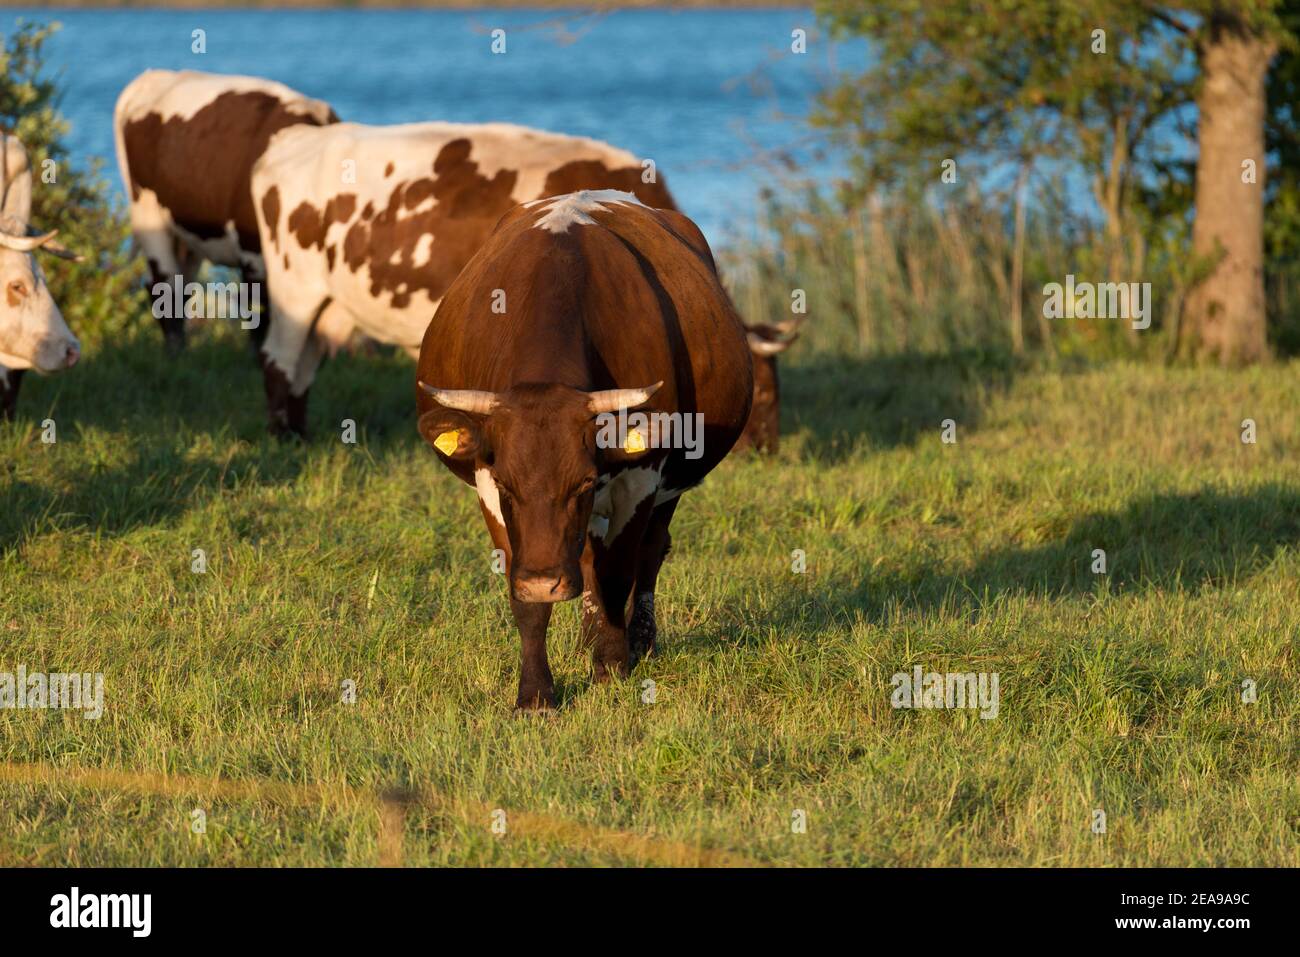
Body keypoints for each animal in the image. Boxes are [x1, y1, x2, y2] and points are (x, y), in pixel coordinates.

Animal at [113, 69, 337, 352]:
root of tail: (153, 76)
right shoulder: (253, 252)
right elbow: (259, 314)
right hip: (147, 213)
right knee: (164, 286)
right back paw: (175, 352)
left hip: (189, 224)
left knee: (181, 287)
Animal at [416, 190, 753, 710]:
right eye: (510, 488)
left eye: (583, 482)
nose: (546, 581)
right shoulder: (488, 483)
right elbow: (526, 599)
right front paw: (536, 695)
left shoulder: (640, 476)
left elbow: (618, 572)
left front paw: (612, 668)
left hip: (671, 485)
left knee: (650, 551)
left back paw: (638, 641)